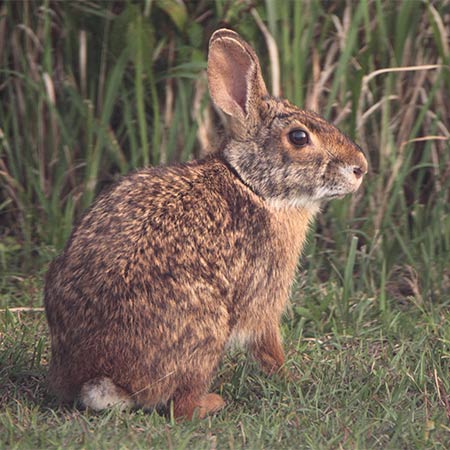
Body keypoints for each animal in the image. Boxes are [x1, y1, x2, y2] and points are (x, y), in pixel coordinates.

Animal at [44, 29, 370, 420]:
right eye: (299, 137)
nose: (361, 167)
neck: (254, 185)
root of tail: (99, 377)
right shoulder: (264, 295)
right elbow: (268, 344)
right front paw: (292, 379)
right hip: (206, 328)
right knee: (180, 406)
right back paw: (211, 403)